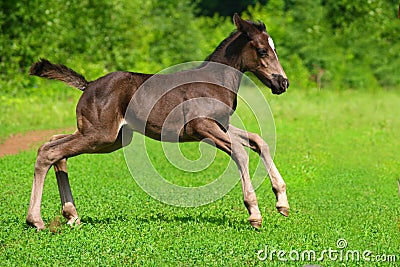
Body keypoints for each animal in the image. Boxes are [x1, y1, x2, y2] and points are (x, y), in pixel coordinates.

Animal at [26, 13, 290, 230]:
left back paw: (71, 215)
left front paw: (282, 202)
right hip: (99, 135)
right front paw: (254, 213)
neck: (214, 82)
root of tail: (88, 85)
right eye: (263, 51)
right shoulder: (201, 127)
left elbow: (258, 141)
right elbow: (240, 153)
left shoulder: (220, 125)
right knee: (48, 152)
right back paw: (36, 220)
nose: (283, 83)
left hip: (108, 138)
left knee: (55, 146)